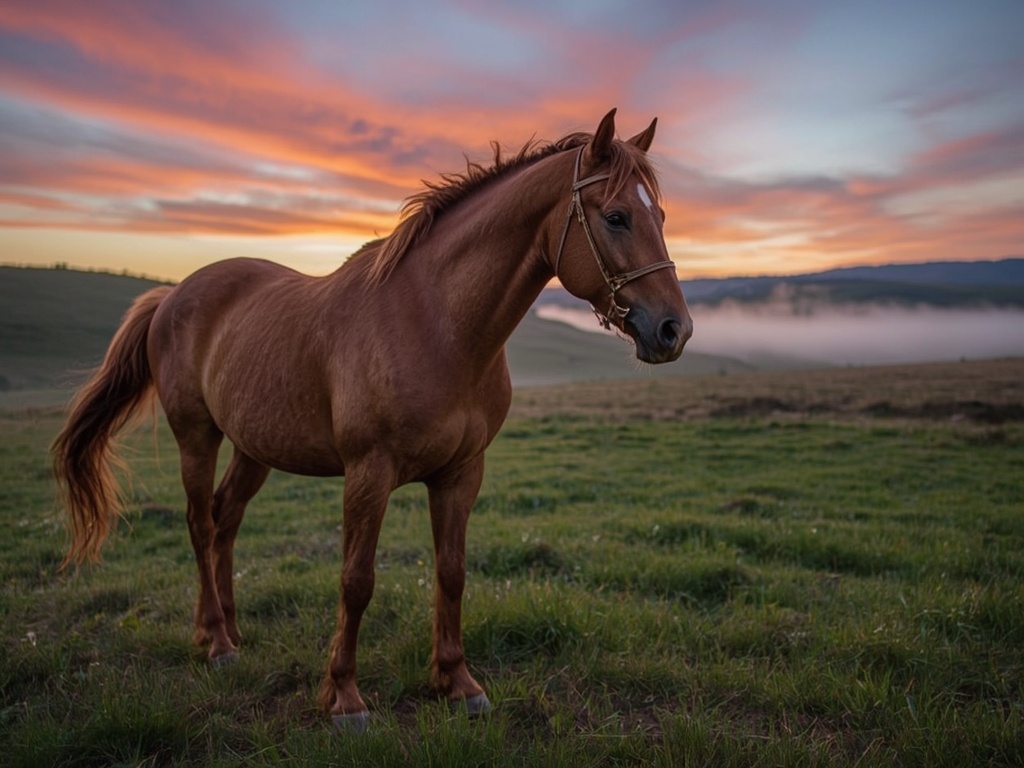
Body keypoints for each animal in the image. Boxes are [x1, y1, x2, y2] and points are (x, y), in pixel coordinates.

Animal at [52, 108, 693, 730]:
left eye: (660, 213)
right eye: (616, 217)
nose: (674, 330)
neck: (438, 326)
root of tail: (172, 295)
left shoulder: (462, 473)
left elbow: (452, 573)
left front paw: (458, 684)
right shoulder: (369, 473)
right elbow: (356, 581)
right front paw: (344, 698)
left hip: (253, 447)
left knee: (225, 520)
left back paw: (232, 632)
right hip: (197, 436)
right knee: (200, 524)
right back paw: (216, 643)